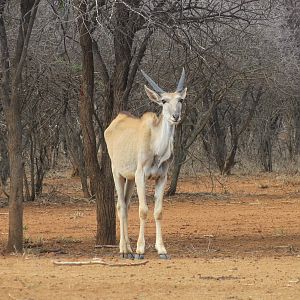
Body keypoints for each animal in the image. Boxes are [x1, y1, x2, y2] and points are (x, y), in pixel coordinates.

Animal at [104, 68, 186, 258]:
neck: (156, 147)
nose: (176, 116)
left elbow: (158, 212)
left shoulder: (161, 177)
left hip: (130, 179)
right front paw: (140, 250)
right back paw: (125, 250)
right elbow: (143, 210)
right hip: (117, 173)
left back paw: (126, 248)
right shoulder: (141, 175)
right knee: (121, 206)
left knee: (124, 205)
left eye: (180, 100)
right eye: (163, 101)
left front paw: (161, 249)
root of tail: (115, 121)